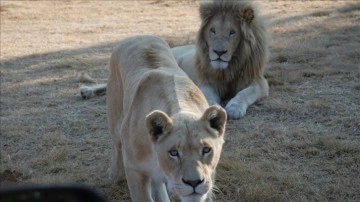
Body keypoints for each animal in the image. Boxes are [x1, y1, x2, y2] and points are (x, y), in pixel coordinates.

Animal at [106, 35, 228, 202]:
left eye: (206, 149)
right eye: (173, 152)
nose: (194, 182)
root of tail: (137, 36)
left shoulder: (210, 176)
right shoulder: (134, 171)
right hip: (116, 122)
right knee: (116, 145)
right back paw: (114, 174)